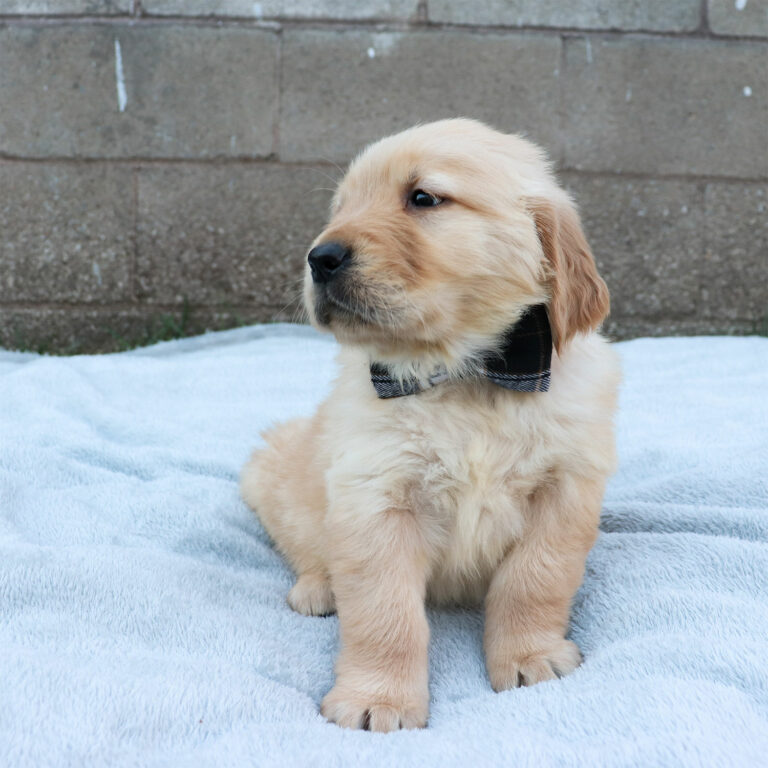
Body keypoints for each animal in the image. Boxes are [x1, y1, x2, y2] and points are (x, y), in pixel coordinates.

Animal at [243, 118, 620, 732]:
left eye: (423, 198)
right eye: (341, 208)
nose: (319, 257)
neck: (463, 375)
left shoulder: (565, 491)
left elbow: (535, 581)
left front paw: (531, 657)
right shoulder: (375, 500)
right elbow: (385, 614)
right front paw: (379, 700)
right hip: (275, 477)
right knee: (306, 547)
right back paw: (319, 588)